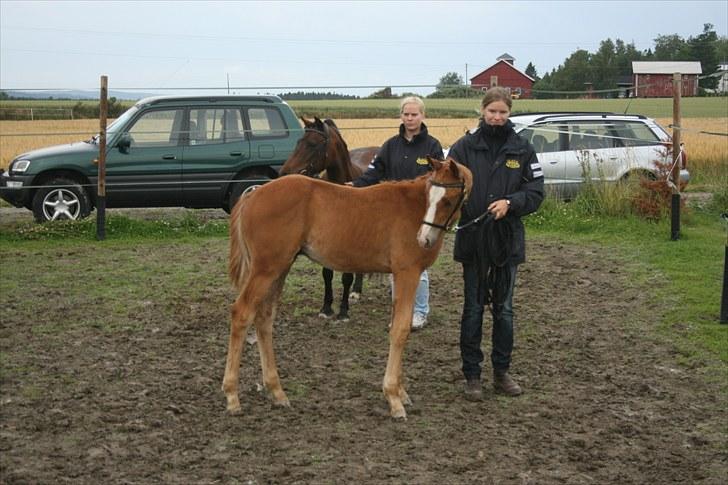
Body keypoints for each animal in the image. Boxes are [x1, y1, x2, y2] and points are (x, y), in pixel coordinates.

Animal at [222, 157, 472, 418]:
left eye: (447, 200)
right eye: (431, 196)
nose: (423, 239)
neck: (413, 206)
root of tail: (253, 194)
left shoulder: (403, 276)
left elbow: (399, 325)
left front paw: (401, 391)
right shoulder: (407, 273)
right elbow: (400, 330)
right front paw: (394, 397)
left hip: (280, 268)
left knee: (264, 318)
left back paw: (277, 391)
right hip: (265, 269)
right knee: (242, 313)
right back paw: (232, 396)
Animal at [278, 116, 378, 322]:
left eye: (312, 144)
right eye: (299, 142)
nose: (284, 173)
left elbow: (346, 276)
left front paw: (343, 311)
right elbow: (327, 274)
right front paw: (326, 307)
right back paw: (356, 291)